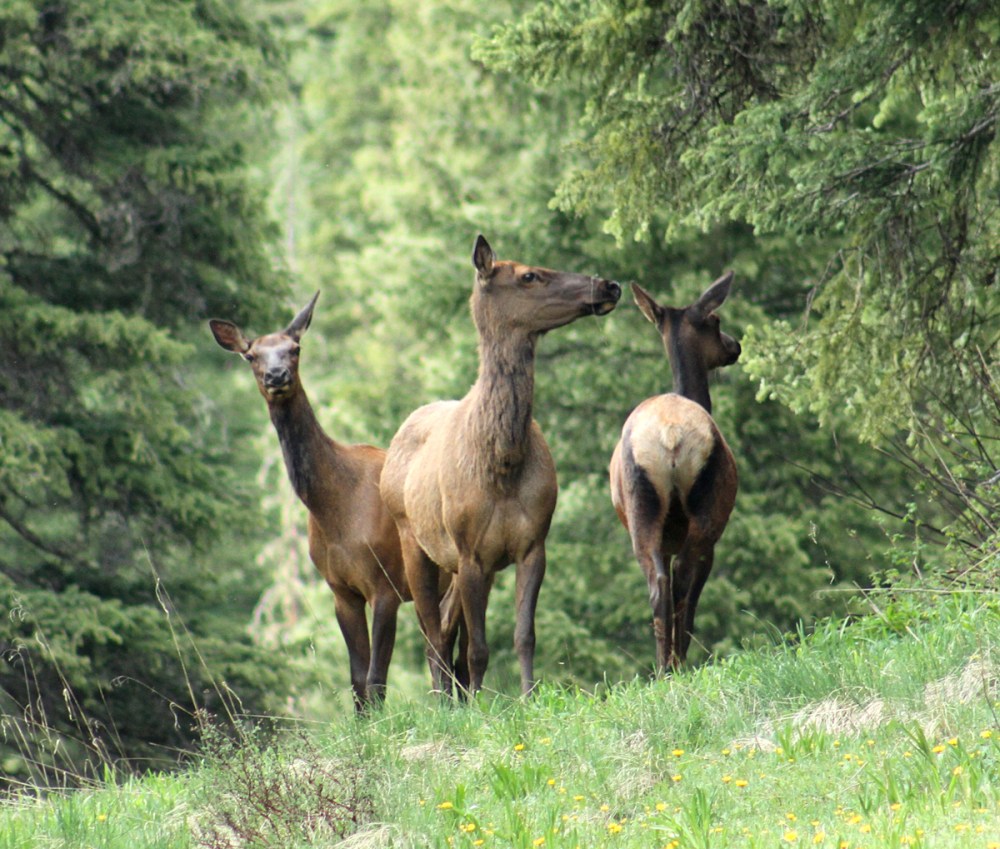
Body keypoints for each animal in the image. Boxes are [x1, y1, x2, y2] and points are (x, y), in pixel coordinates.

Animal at [209, 293, 419, 711]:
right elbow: (357, 679)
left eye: (295, 348)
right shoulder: (340, 589)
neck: (337, 511)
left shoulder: (386, 581)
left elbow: (377, 678)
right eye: (251, 355)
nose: (277, 376)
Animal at [380, 235, 621, 697]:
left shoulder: (532, 544)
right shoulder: (470, 552)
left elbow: (523, 635)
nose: (609, 285)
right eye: (529, 275)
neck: (503, 468)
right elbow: (478, 648)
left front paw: (527, 697)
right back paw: (443, 701)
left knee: (446, 628)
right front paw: (480, 707)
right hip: (415, 543)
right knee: (432, 633)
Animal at [609, 272, 741, 673]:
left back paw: (661, 667)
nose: (735, 345)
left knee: (658, 585)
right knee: (682, 581)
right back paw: (677, 664)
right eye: (716, 321)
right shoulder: (711, 540)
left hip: (642, 509)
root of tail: (670, 436)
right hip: (706, 509)